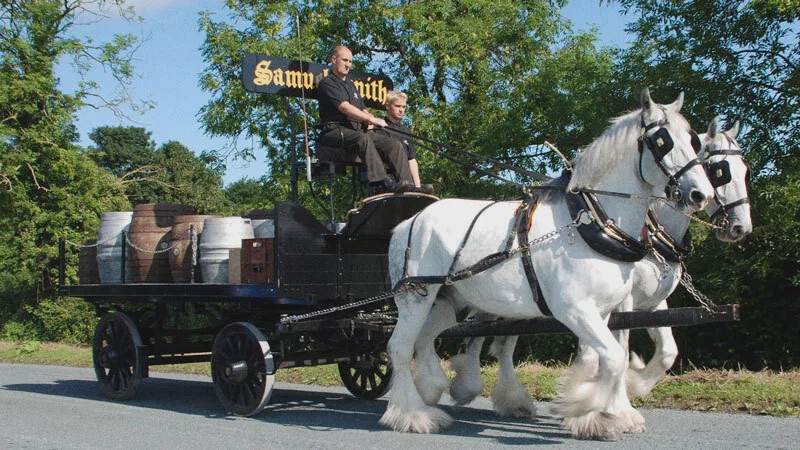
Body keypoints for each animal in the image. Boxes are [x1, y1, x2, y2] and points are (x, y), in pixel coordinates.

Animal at [382, 89, 712, 442]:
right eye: (662, 141)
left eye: (693, 140)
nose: (700, 194)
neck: (590, 223)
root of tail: (407, 222)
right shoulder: (574, 309)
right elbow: (612, 357)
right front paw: (584, 407)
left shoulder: (602, 311)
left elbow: (603, 359)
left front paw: (593, 412)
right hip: (417, 297)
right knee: (400, 347)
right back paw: (414, 414)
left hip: (451, 302)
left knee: (424, 338)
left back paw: (432, 389)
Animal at [446, 116, 752, 418]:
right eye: (719, 170)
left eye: (745, 170)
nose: (740, 228)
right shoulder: (618, 300)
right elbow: (620, 348)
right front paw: (611, 400)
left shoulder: (653, 302)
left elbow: (666, 350)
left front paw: (621, 386)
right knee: (483, 339)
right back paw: (474, 387)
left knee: (499, 341)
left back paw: (507, 398)